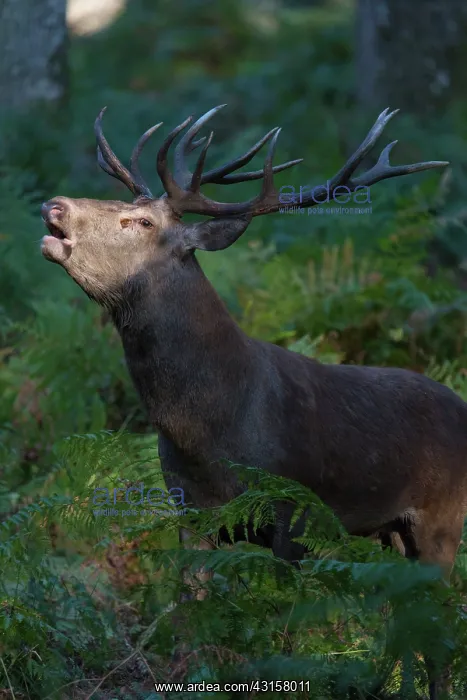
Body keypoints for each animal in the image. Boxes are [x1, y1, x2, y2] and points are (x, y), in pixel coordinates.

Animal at [40, 104, 458, 698]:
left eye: (141, 223)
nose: (56, 205)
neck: (211, 431)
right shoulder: (190, 512)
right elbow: (190, 625)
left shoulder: (294, 517)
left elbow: (285, 633)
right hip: (390, 535)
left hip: (442, 522)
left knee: (439, 630)